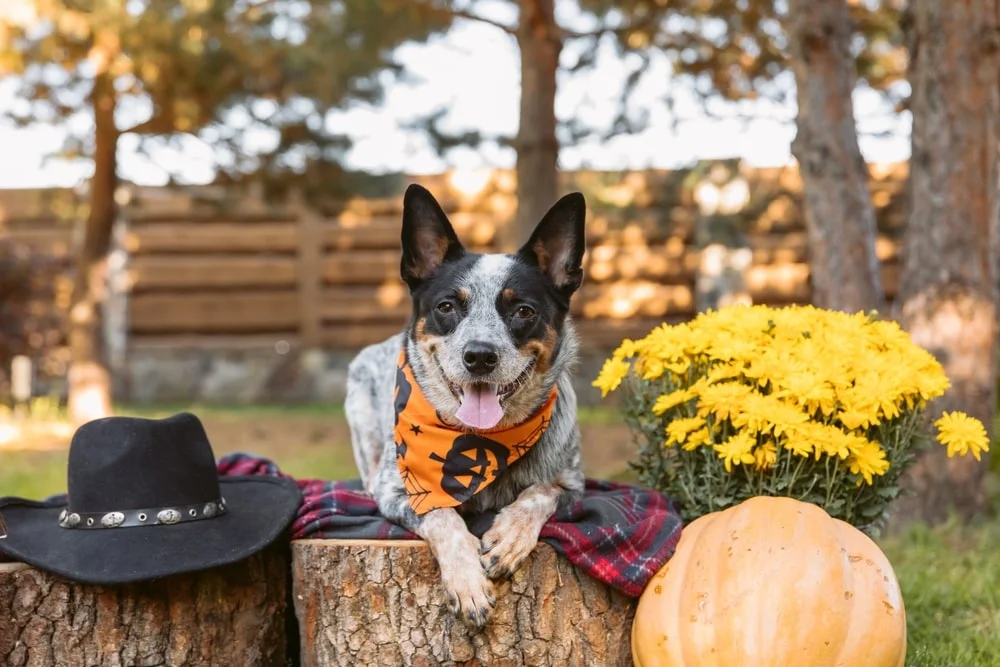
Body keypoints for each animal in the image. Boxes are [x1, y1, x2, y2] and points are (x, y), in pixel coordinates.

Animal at [348, 184, 588, 632]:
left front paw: (509, 535)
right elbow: (442, 515)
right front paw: (468, 583)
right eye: (447, 306)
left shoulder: (575, 486)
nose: (479, 355)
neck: (481, 437)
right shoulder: (396, 491)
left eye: (523, 310)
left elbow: (540, 491)